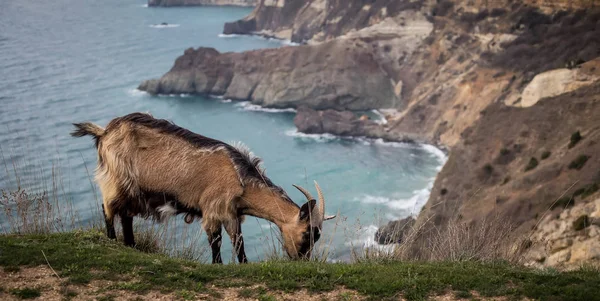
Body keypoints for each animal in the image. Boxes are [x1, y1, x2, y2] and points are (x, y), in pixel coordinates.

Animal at [72, 111, 336, 262]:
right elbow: (216, 244)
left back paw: (131, 245)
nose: (301, 260)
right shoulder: (212, 211)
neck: (239, 177)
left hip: (134, 191)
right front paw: (218, 265)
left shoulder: (232, 215)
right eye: (307, 233)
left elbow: (239, 246)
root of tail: (104, 132)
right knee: (108, 208)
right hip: (117, 179)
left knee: (126, 215)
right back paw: (112, 242)